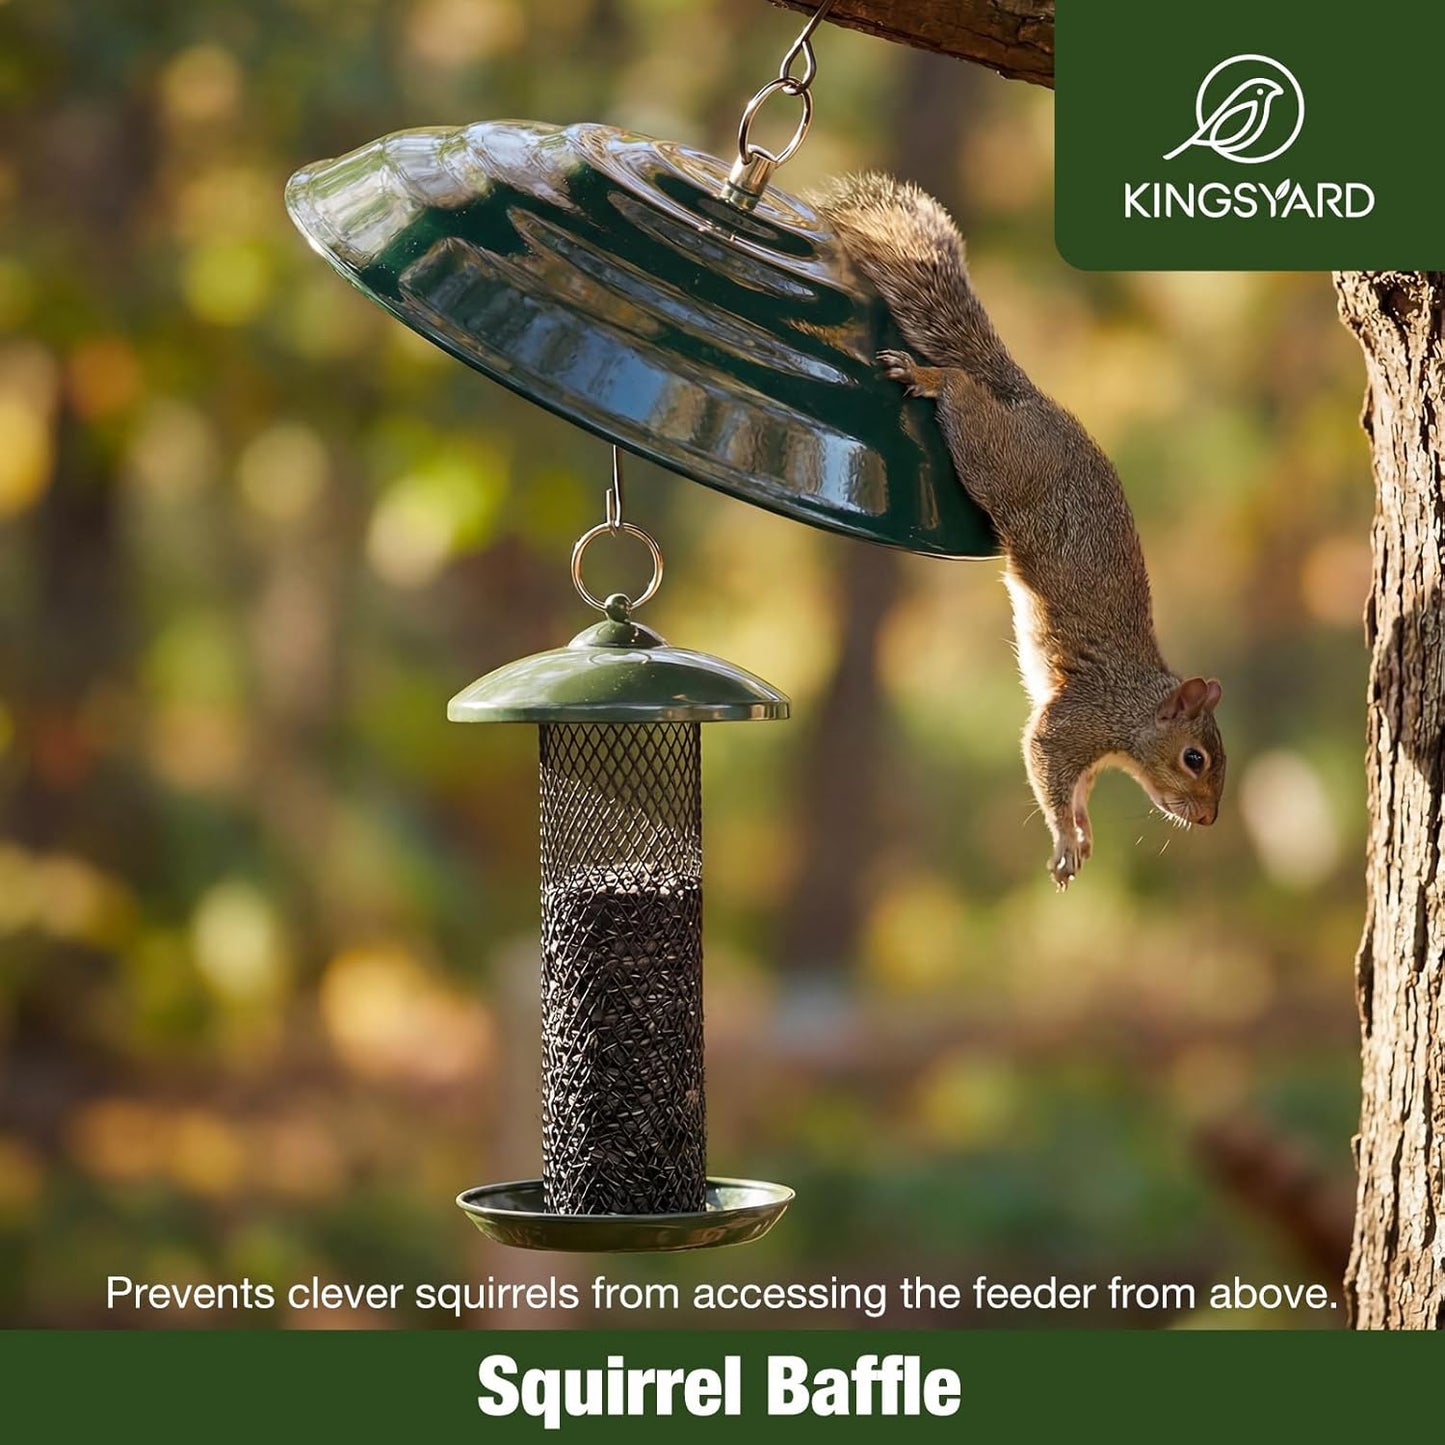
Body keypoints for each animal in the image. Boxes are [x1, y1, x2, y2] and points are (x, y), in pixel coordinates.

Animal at [813, 174, 1225, 889]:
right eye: (1194, 758)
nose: (1208, 821)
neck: (1134, 711)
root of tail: (1028, 397)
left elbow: (1076, 789)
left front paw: (1082, 831)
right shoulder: (1075, 719)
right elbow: (1044, 760)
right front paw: (1065, 839)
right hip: (994, 460)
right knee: (961, 389)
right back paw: (928, 375)